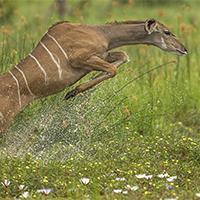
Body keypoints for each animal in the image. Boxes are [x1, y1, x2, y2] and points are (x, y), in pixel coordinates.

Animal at [0, 19, 188, 134]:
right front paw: (73, 92)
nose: (184, 49)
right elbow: (113, 69)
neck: (102, 33)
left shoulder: (102, 55)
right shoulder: (80, 58)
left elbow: (122, 57)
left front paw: (74, 91)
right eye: (167, 32)